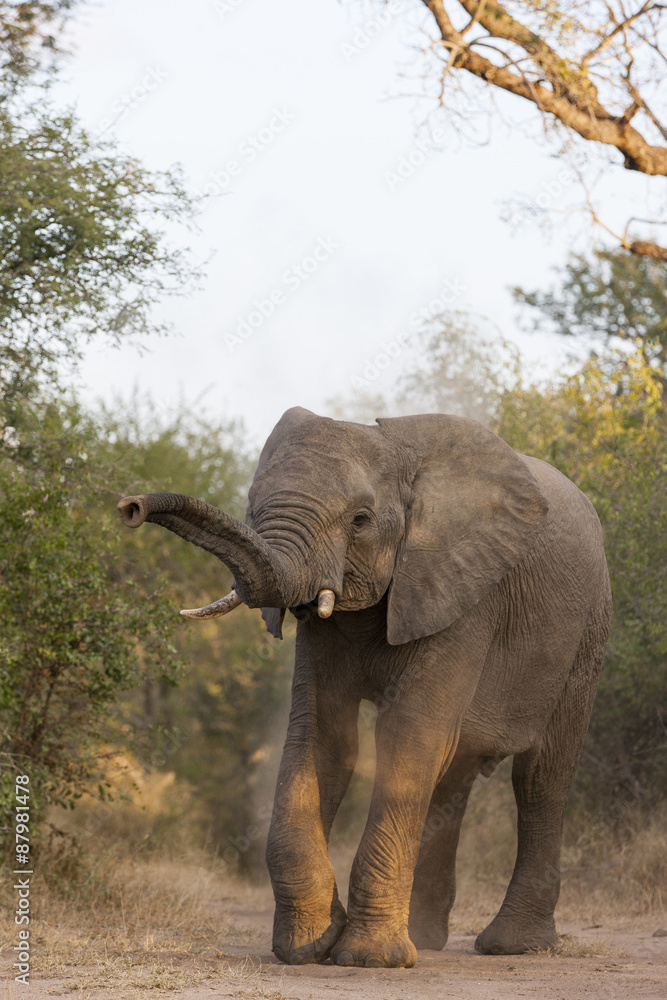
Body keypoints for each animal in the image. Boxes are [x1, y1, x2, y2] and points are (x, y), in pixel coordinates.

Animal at [117, 407, 611, 969]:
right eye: (250, 505)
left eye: (360, 520)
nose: (130, 506)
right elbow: (323, 738)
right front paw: (310, 945)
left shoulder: (461, 592)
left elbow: (408, 735)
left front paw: (369, 958)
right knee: (454, 774)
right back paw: (426, 937)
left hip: (587, 631)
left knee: (540, 775)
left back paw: (513, 946)